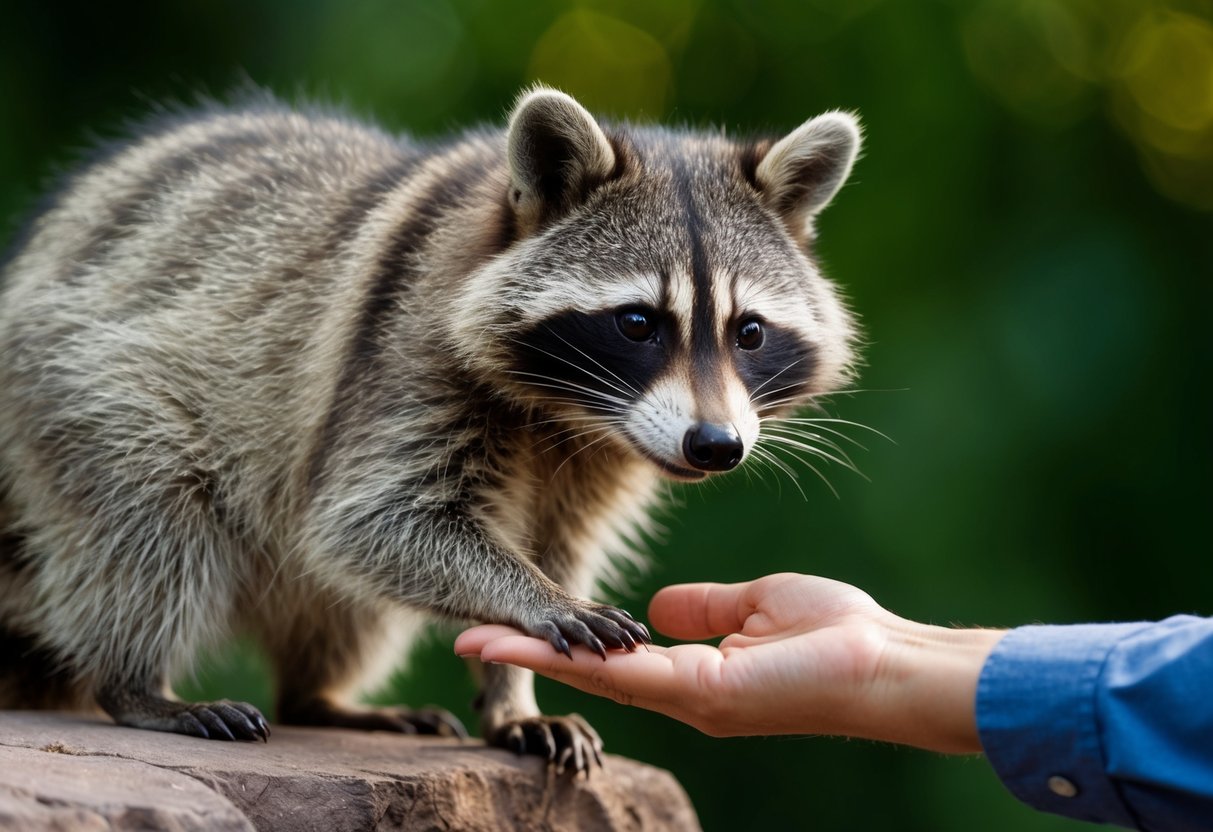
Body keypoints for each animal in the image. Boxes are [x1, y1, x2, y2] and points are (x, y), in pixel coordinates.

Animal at [0, 87, 860, 771]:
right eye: (637, 322)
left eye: (749, 332)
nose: (714, 446)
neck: (570, 414)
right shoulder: (399, 356)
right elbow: (372, 521)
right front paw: (529, 595)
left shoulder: (598, 456)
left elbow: (550, 540)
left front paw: (513, 693)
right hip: (73, 387)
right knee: (149, 517)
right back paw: (136, 682)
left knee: (338, 611)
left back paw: (317, 694)